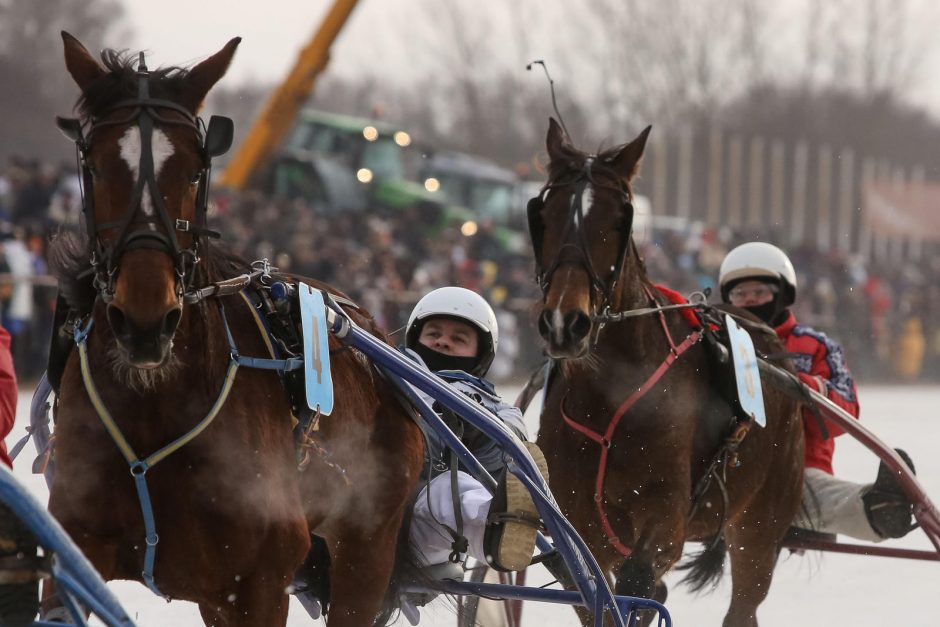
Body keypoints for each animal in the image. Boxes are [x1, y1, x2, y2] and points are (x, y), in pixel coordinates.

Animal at [46, 34, 422, 627]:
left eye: (195, 169)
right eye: (97, 164)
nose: (146, 319)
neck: (154, 405)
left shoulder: (259, 579)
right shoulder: (74, 546)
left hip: (367, 545)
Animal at [532, 120, 804, 624]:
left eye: (618, 219)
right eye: (546, 213)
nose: (565, 322)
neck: (611, 396)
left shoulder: (667, 511)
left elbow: (637, 581)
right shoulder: (578, 519)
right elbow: (594, 590)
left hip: (762, 520)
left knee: (744, 599)